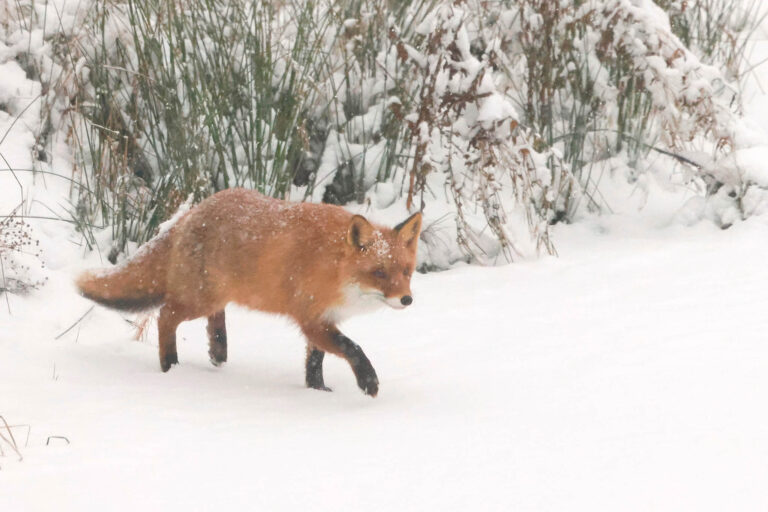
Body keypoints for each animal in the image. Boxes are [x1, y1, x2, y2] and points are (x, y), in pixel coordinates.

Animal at [76, 188, 422, 397]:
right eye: (379, 273)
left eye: (406, 271)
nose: (407, 300)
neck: (335, 267)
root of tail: (193, 211)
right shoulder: (311, 318)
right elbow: (352, 348)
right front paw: (368, 382)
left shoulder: (322, 319)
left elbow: (315, 363)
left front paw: (318, 392)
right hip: (199, 298)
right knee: (165, 315)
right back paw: (170, 365)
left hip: (214, 295)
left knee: (212, 319)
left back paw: (218, 349)